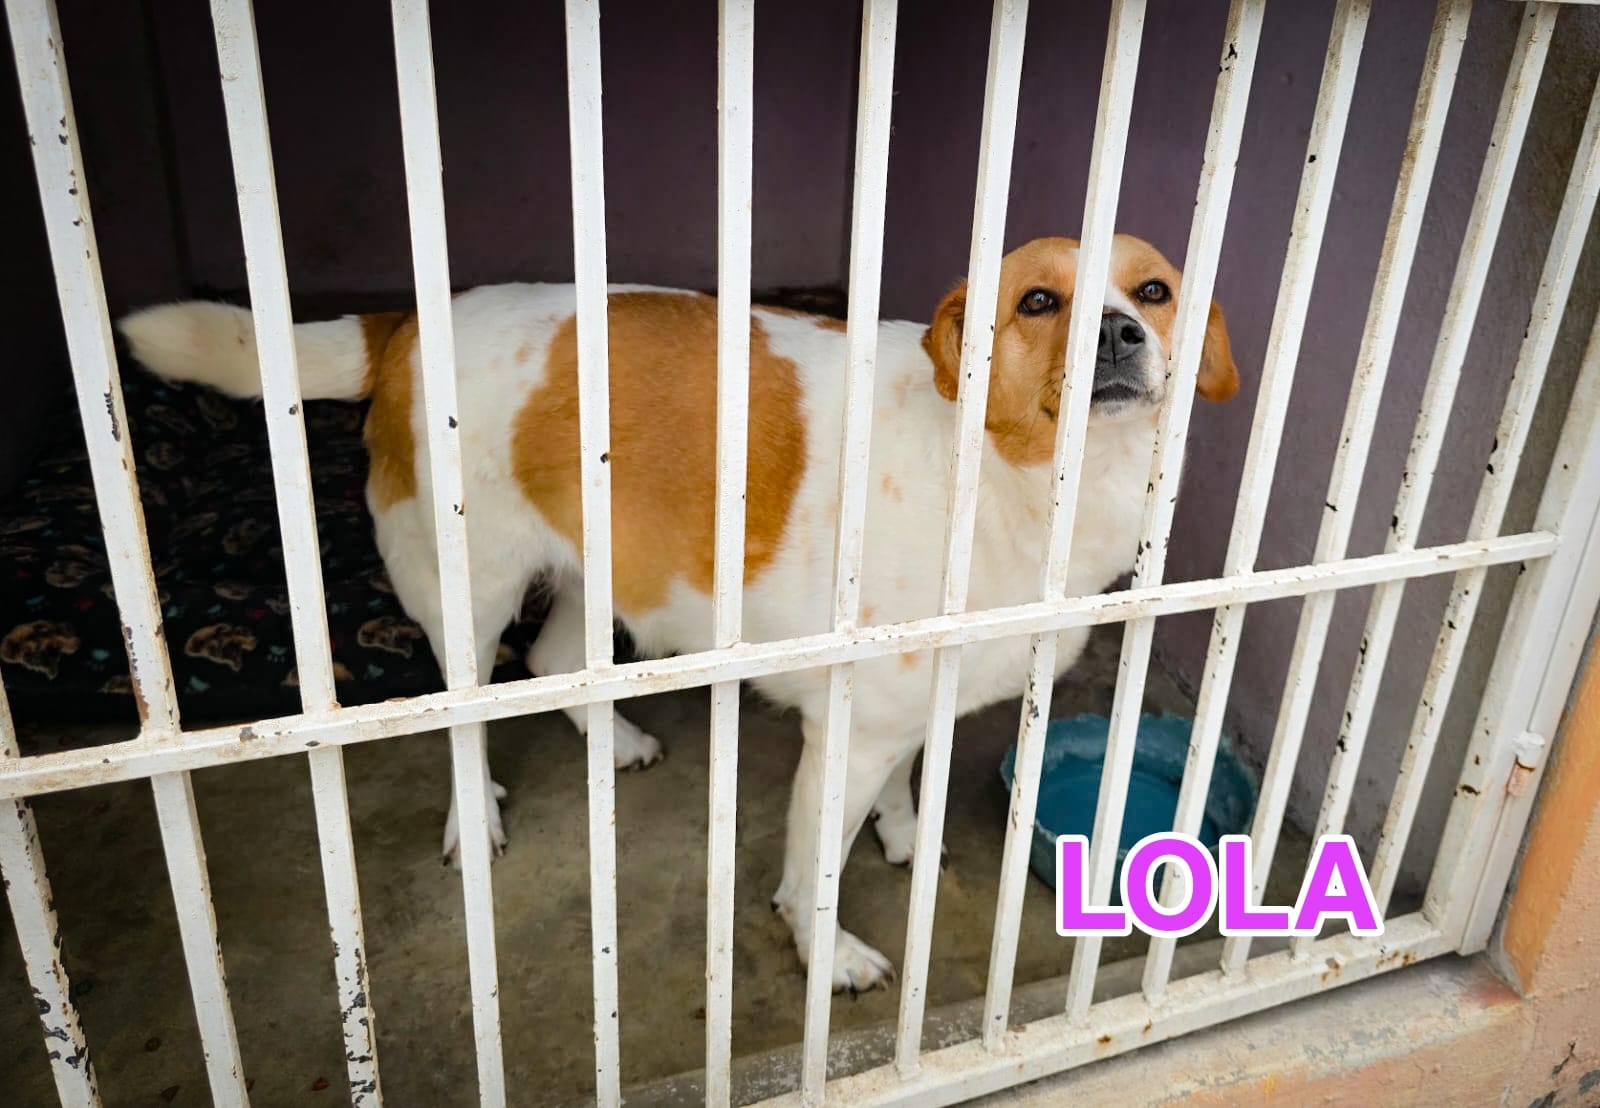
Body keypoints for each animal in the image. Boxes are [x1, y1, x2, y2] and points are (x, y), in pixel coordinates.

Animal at [120, 234, 1239, 991]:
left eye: (1154, 290)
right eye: (1038, 300)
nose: (1120, 332)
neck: (1011, 478)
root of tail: (406, 325)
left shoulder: (904, 702)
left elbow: (905, 782)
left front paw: (907, 834)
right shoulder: (848, 727)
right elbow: (812, 870)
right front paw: (828, 950)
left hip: (603, 573)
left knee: (552, 659)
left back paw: (612, 740)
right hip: (464, 591)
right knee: (465, 708)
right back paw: (475, 818)